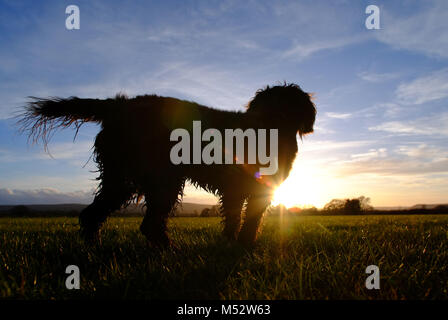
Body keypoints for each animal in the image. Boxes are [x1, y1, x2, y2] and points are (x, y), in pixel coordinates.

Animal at [20, 84, 316, 246]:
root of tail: (119, 105)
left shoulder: (242, 190)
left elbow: (237, 219)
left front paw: (233, 243)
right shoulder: (249, 189)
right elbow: (247, 220)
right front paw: (242, 245)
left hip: (123, 177)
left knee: (95, 213)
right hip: (162, 177)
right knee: (149, 223)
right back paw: (170, 250)